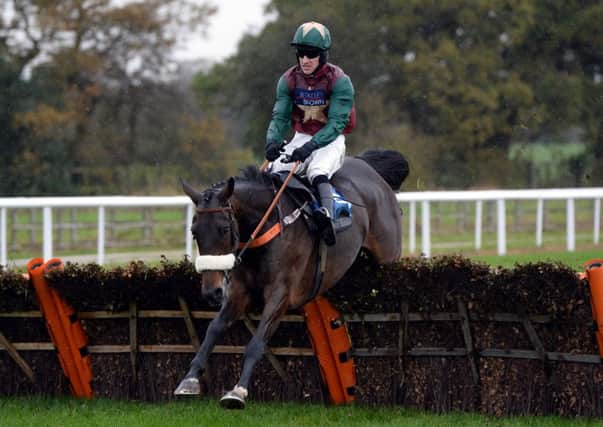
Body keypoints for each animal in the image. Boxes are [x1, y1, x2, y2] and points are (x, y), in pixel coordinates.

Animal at [176, 150, 410, 408]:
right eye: (194, 232)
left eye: (224, 229)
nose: (211, 292)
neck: (266, 225)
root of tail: (370, 168)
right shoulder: (239, 291)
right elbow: (213, 329)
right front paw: (189, 379)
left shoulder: (281, 293)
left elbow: (257, 342)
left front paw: (237, 392)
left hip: (388, 254)